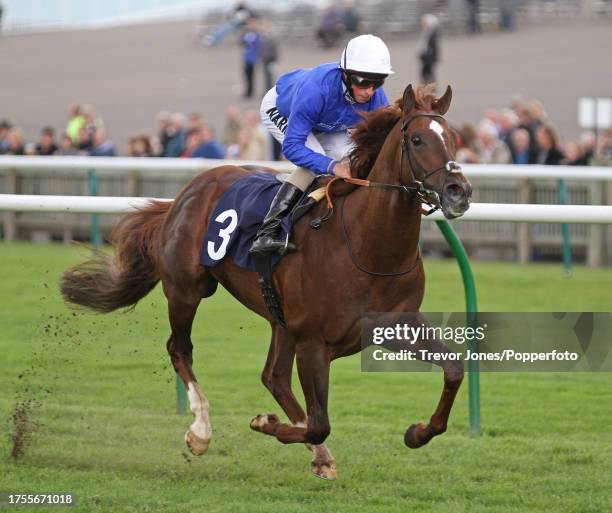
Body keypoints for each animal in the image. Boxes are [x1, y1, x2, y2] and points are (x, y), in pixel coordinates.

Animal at [61, 84, 474, 480]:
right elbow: (319, 423)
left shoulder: (396, 325)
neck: (367, 248)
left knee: (273, 377)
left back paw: (317, 455)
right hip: (186, 289)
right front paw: (265, 423)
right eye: (417, 139)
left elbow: (455, 369)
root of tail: (188, 190)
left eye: (453, 138)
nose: (459, 191)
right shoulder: (313, 342)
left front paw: (417, 432)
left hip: (279, 317)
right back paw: (201, 432)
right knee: (180, 349)